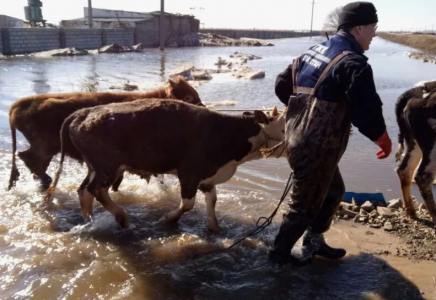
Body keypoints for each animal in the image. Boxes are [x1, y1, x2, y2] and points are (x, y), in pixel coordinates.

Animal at [8, 76, 203, 191]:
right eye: (188, 97)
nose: (202, 108)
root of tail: (18, 105)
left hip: (47, 149)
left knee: (35, 162)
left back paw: (42, 180)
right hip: (46, 146)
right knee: (26, 156)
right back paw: (47, 179)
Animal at [46, 99, 288, 231]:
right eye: (285, 126)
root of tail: (83, 112)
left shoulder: (208, 176)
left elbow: (212, 200)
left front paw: (214, 227)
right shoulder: (189, 172)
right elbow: (188, 204)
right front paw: (169, 218)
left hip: (95, 166)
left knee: (84, 191)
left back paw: (89, 220)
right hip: (108, 166)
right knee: (97, 190)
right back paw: (122, 218)